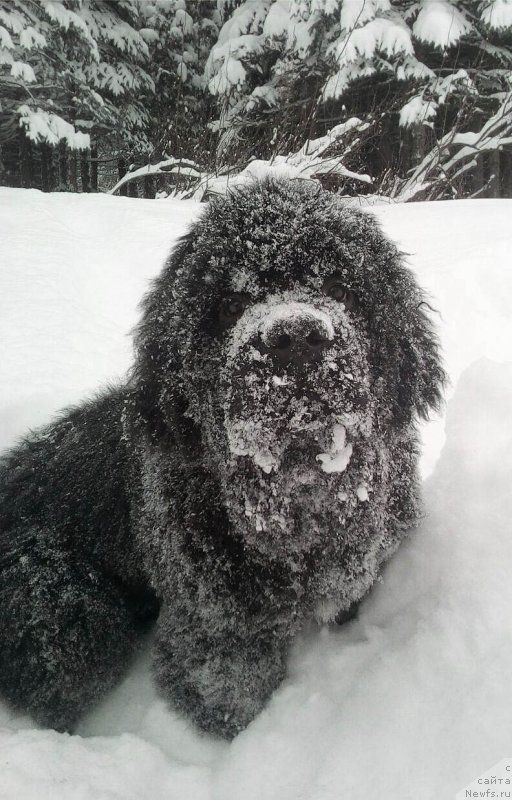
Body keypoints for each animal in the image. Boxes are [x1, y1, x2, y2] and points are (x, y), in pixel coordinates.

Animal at [0, 178, 444, 736]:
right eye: (231, 305)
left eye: (341, 289)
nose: (296, 335)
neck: (296, 506)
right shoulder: (213, 630)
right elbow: (232, 696)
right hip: (66, 610)